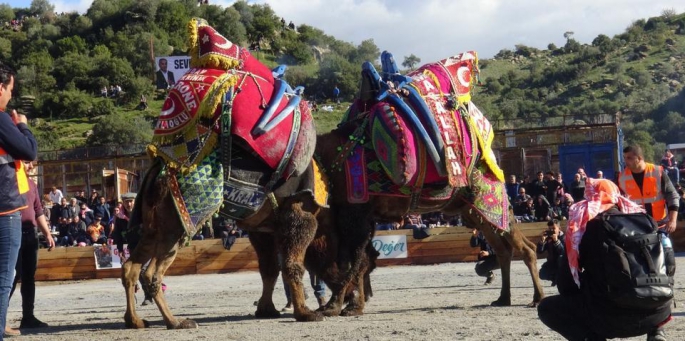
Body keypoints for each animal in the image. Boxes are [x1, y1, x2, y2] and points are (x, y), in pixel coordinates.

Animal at [312, 50, 544, 314]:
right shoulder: (355, 216)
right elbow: (358, 259)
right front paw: (350, 304)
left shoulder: (355, 211)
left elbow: (352, 260)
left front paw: (338, 305)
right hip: (474, 211)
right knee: (504, 249)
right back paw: (503, 297)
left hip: (489, 197)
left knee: (525, 248)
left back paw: (536, 297)